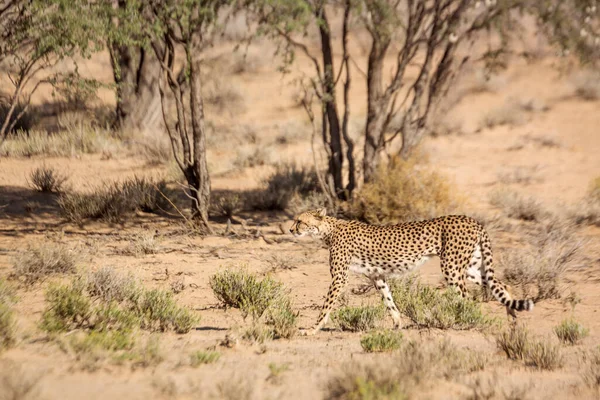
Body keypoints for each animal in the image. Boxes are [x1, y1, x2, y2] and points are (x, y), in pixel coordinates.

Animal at [290, 208, 536, 336]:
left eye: (299, 221)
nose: (291, 230)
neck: (328, 229)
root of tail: (472, 219)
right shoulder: (377, 276)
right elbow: (389, 301)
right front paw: (397, 325)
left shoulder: (340, 278)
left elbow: (325, 306)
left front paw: (311, 329)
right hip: (470, 267)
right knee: (502, 285)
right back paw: (513, 322)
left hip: (452, 267)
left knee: (466, 298)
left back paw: (464, 323)